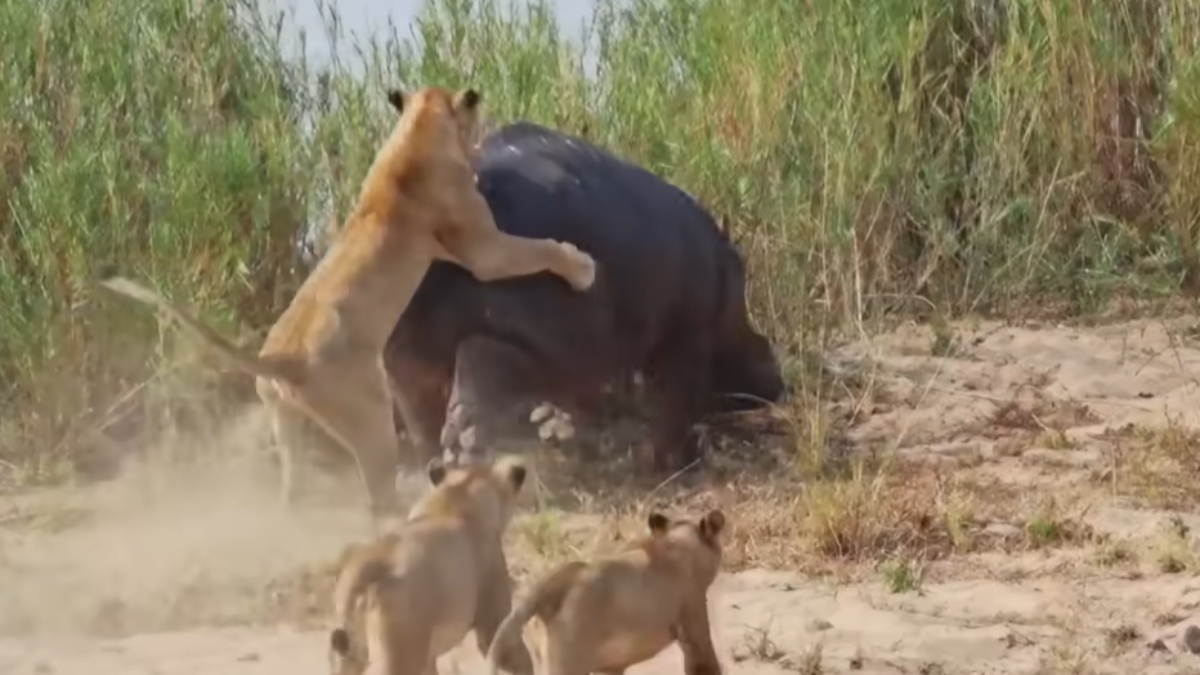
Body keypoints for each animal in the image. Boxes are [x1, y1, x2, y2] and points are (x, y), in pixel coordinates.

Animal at [379, 120, 782, 470]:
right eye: (760, 339)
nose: (778, 378)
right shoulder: (686, 336)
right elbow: (676, 398)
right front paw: (669, 461)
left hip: (404, 345)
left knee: (423, 404)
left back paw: (436, 466)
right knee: (477, 372)